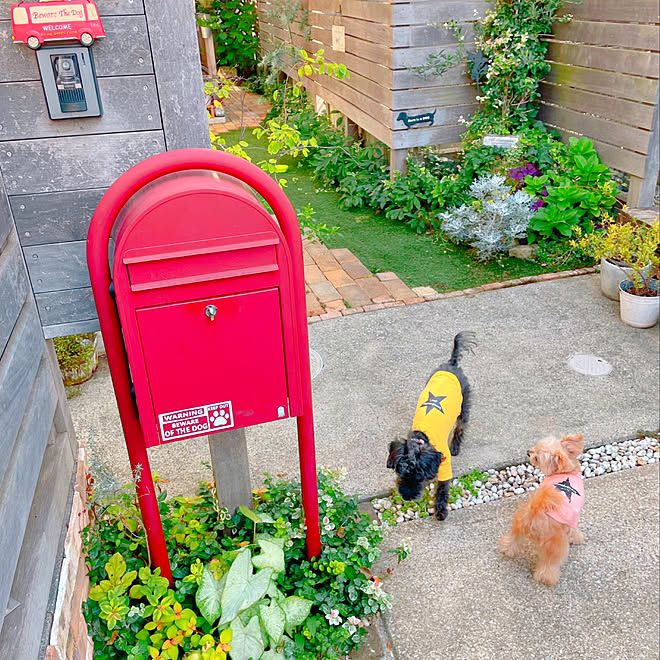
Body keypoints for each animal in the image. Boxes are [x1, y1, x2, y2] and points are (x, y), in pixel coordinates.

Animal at [386, 336, 474, 520]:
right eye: (400, 473)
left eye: (420, 477)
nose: (406, 496)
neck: (422, 437)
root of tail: (452, 364)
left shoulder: (444, 463)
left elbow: (442, 487)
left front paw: (440, 510)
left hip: (464, 406)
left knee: (460, 427)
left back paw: (456, 447)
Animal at [498, 436, 584, 584]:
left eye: (537, 457)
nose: (528, 452)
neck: (566, 471)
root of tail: (537, 510)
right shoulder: (572, 518)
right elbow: (574, 531)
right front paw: (577, 538)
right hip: (555, 546)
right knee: (548, 565)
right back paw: (547, 578)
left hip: (519, 524)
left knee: (512, 540)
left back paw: (507, 549)